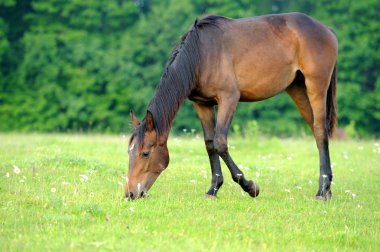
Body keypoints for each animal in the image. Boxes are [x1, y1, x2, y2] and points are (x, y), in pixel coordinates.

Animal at [126, 12, 336, 201]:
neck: (202, 54)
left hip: (316, 87)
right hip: (297, 89)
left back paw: (322, 191)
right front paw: (213, 189)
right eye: (129, 151)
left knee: (320, 131)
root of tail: (326, 29)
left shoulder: (228, 98)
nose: (130, 194)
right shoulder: (202, 104)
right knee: (317, 132)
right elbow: (210, 144)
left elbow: (220, 142)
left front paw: (250, 187)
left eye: (145, 153)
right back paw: (327, 190)